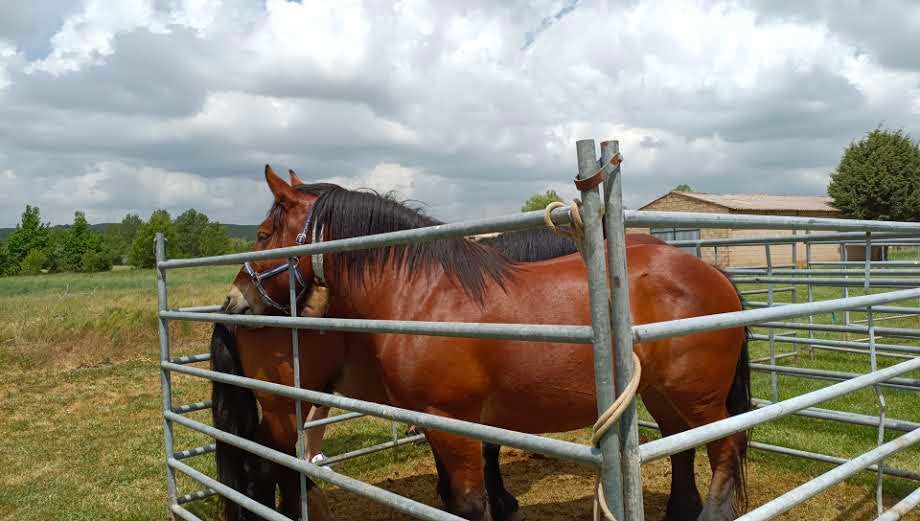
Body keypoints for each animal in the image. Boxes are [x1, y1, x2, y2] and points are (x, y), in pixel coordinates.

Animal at [221, 167, 748, 520]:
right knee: (683, 446)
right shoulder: (445, 422)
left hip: (696, 396)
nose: (234, 300)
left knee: (725, 448)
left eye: (264, 234)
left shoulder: (453, 422)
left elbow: (471, 503)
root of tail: (712, 273)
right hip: (661, 392)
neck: (426, 294)